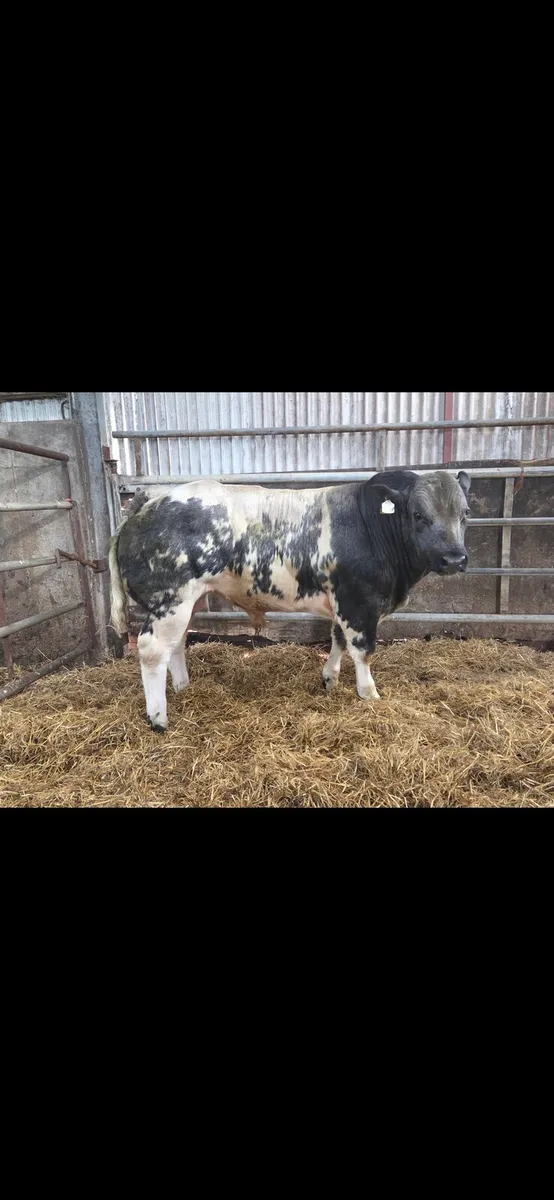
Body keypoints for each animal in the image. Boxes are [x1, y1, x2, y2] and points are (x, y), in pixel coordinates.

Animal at [109, 470, 471, 732]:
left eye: (465, 513)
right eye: (418, 514)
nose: (454, 559)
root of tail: (151, 500)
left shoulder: (342, 603)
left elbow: (337, 640)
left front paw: (329, 679)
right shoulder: (359, 602)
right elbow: (362, 650)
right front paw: (369, 693)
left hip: (190, 601)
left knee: (178, 643)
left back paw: (183, 687)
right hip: (171, 599)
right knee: (153, 649)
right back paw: (158, 718)